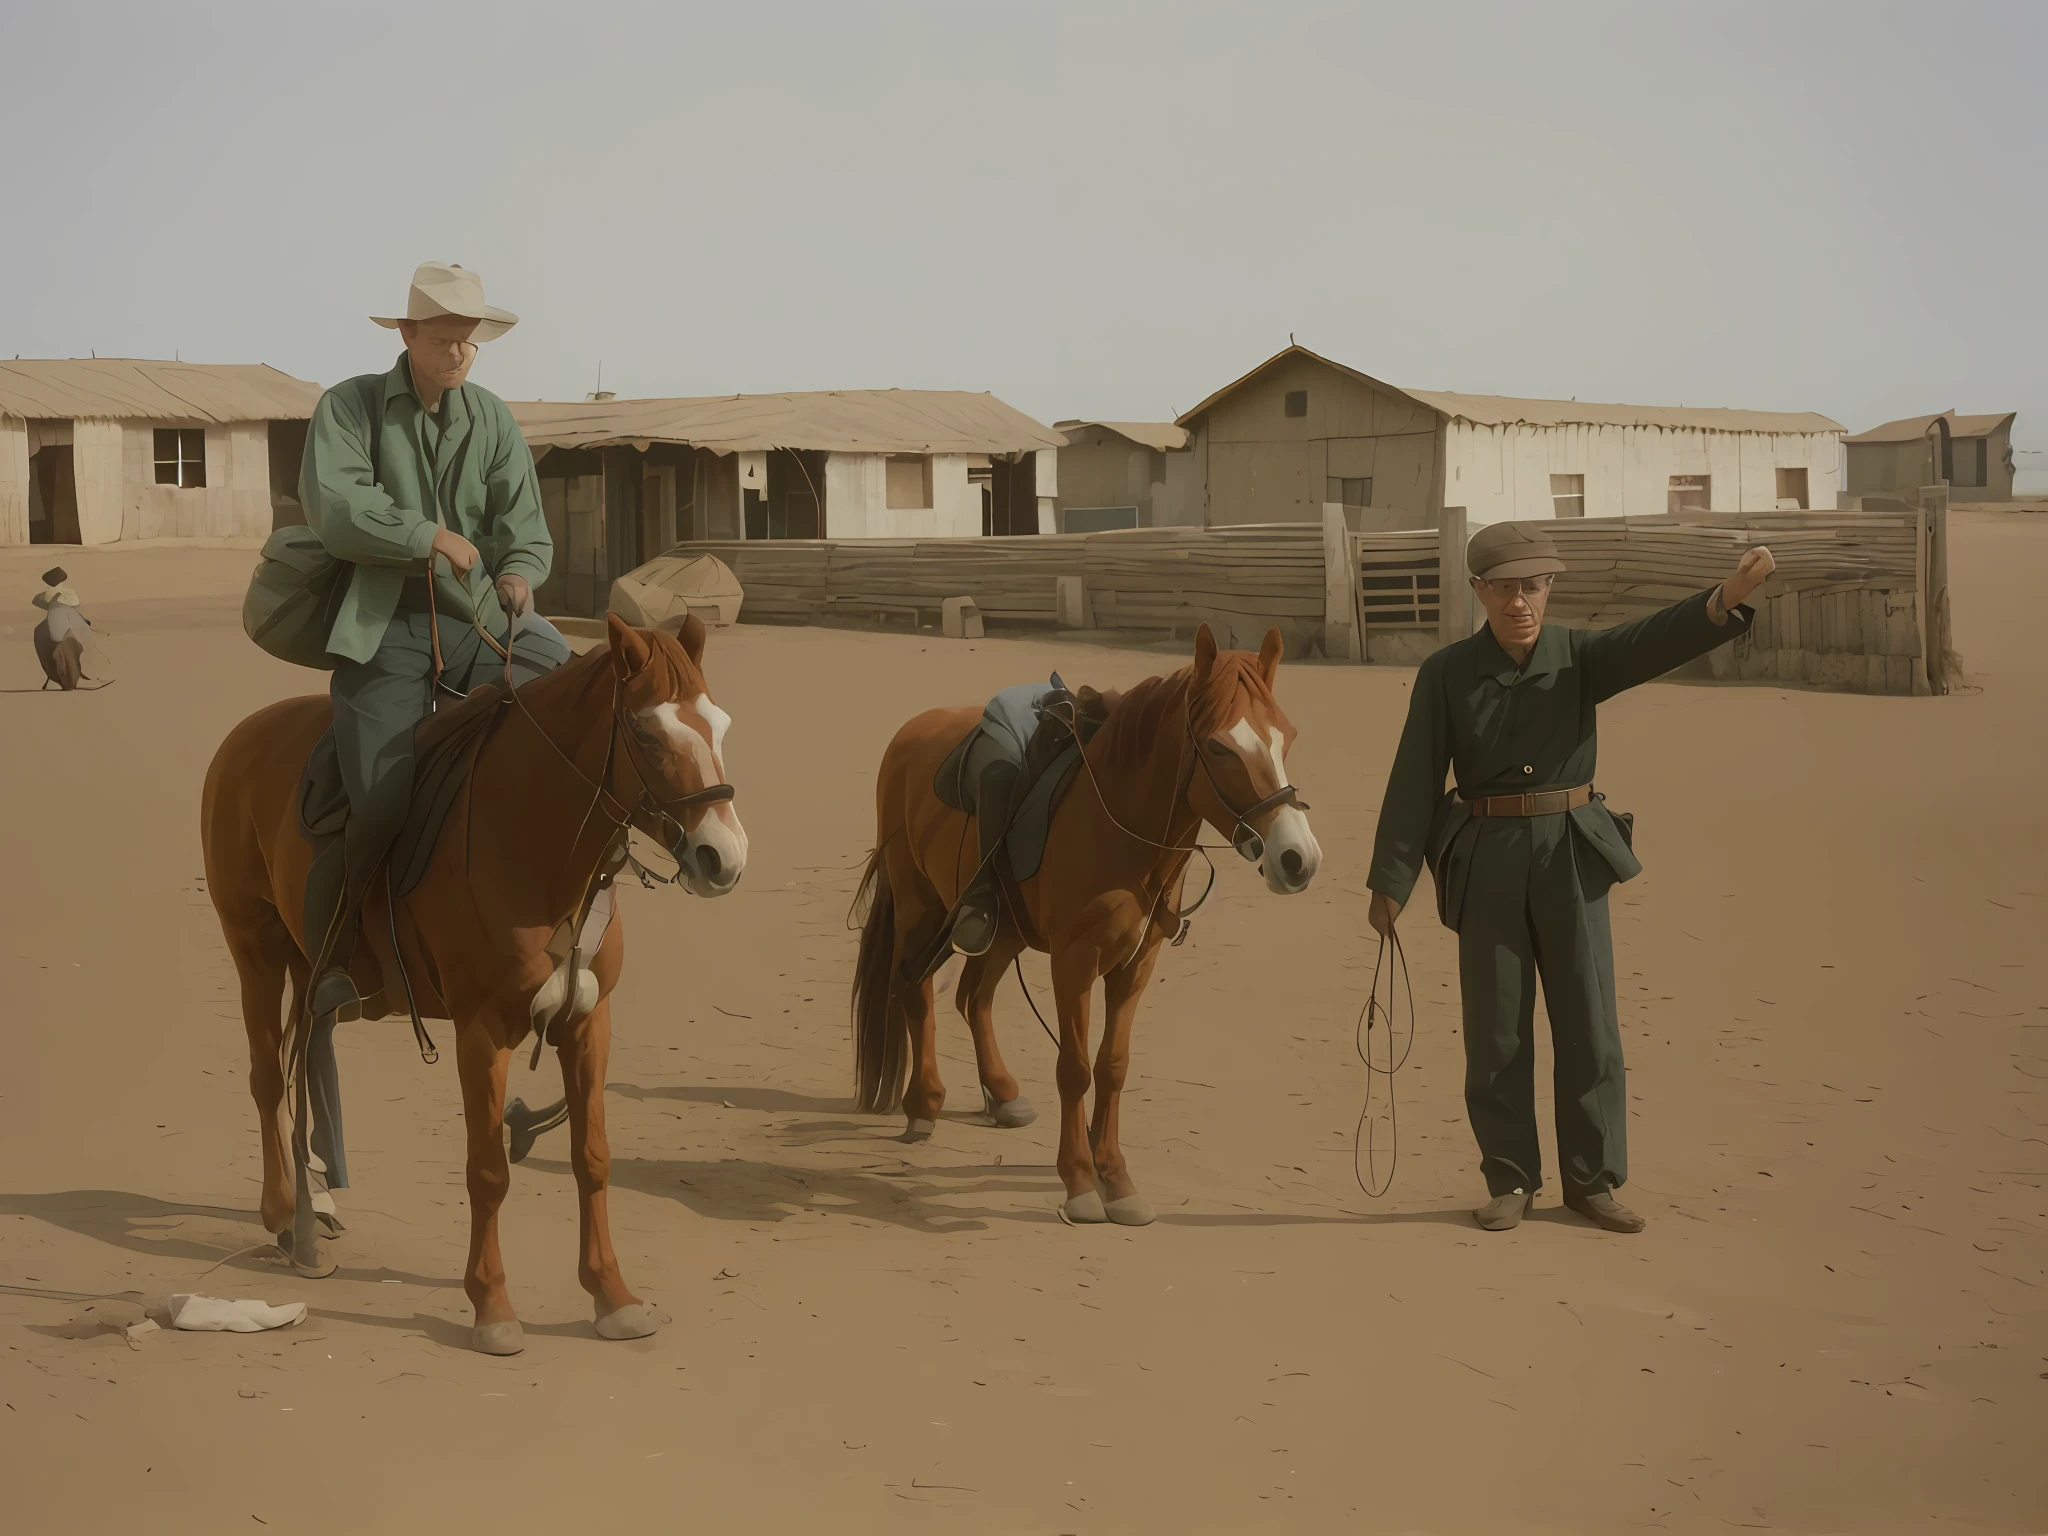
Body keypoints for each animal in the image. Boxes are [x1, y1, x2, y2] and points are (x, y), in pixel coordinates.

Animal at [195, 618, 745, 1359]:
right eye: (647, 733)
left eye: (718, 725)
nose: (723, 858)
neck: (531, 844)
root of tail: (244, 736)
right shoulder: (482, 1031)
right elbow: (488, 1171)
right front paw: (491, 1305)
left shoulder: (588, 1020)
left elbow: (593, 1158)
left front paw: (612, 1295)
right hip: (254, 949)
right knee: (263, 1078)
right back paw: (286, 1215)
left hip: (314, 969)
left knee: (307, 1058)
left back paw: (316, 1206)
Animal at [851, 626, 1318, 1228]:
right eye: (1219, 747)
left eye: (1287, 739)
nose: (1297, 858)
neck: (1119, 823)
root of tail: (911, 732)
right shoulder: (1074, 960)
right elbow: (1074, 1067)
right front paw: (1078, 1182)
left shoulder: (1136, 962)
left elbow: (1112, 1065)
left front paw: (1115, 1178)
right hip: (918, 906)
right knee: (916, 990)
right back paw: (924, 1102)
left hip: (1004, 931)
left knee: (973, 997)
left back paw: (1001, 1093)